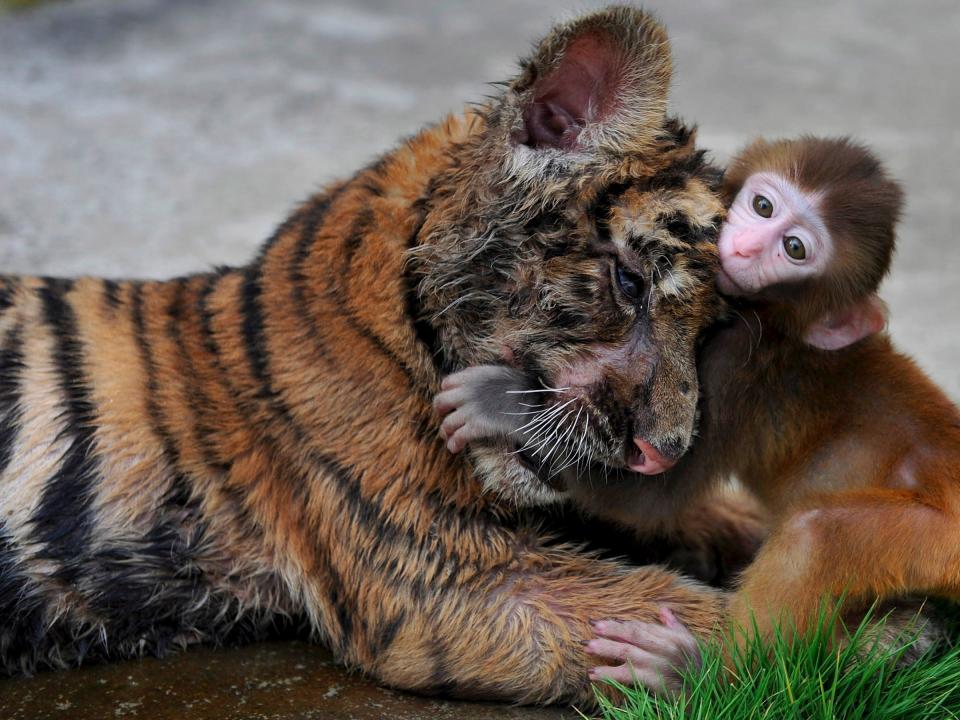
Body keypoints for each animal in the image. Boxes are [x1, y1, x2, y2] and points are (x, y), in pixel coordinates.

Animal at [436, 135, 960, 692]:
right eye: (763, 205)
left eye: (794, 249)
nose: (746, 247)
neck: (779, 323)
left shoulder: (734, 362)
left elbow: (651, 495)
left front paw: (503, 403)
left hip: (937, 539)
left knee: (816, 534)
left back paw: (699, 673)